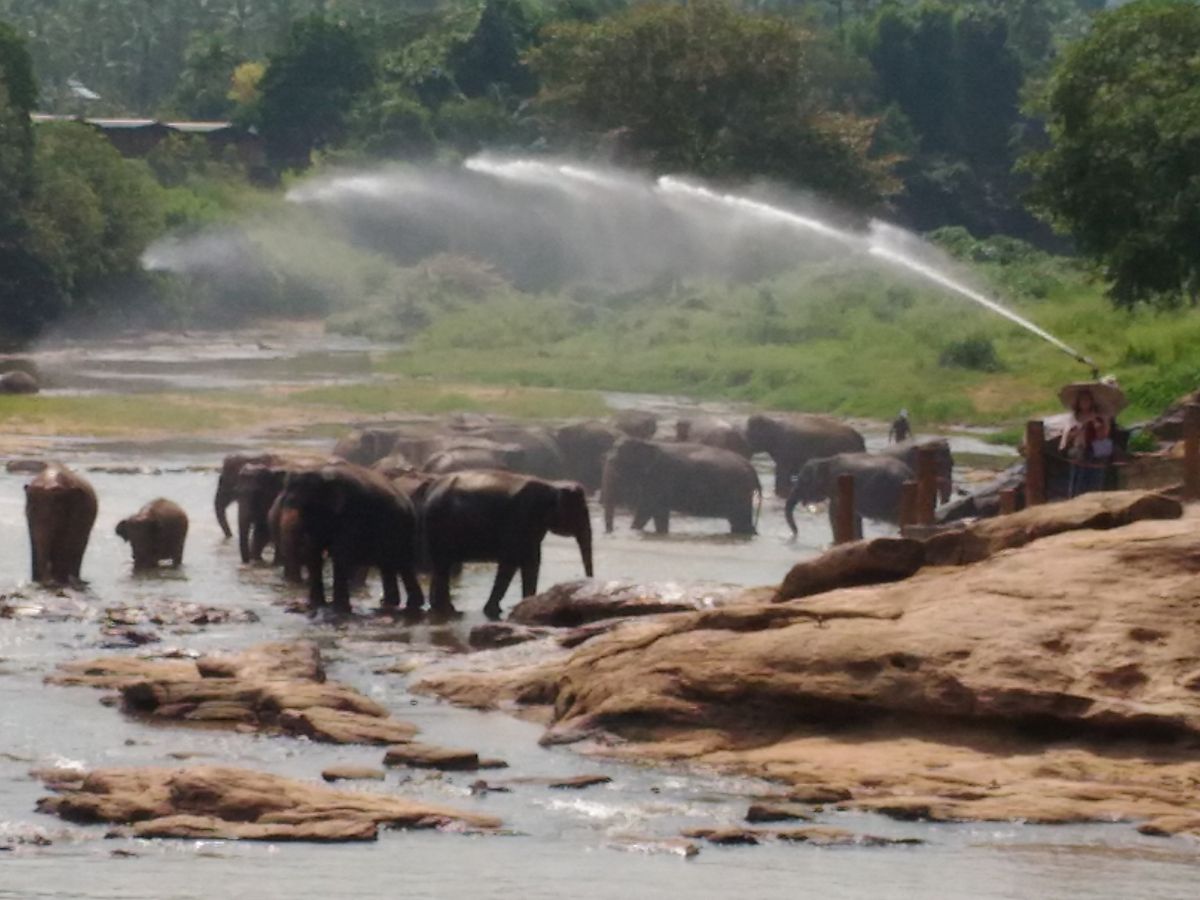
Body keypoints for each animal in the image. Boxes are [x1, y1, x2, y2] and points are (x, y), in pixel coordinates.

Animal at [281, 464, 425, 615]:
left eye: (306, 504)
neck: (323, 474)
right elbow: (313, 551)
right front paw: (316, 605)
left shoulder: (353, 514)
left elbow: (340, 553)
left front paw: (339, 609)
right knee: (388, 565)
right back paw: (390, 603)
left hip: (403, 529)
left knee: (403, 564)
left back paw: (411, 604)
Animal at [422, 471, 594, 619]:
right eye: (582, 512)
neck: (552, 485)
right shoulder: (521, 518)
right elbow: (511, 561)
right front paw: (493, 610)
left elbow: (532, 562)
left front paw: (527, 604)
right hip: (440, 526)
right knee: (443, 566)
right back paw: (447, 610)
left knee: (441, 566)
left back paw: (438, 608)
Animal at [601, 439, 761, 535]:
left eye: (615, 465)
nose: (613, 531)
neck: (646, 443)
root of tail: (752, 469)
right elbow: (658, 515)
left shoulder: (659, 478)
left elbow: (647, 510)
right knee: (739, 524)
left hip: (739, 492)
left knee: (741, 522)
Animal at [784, 452, 914, 535]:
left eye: (804, 481)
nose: (795, 534)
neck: (826, 460)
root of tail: (909, 474)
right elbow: (854, 517)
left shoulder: (837, 488)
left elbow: (834, 514)